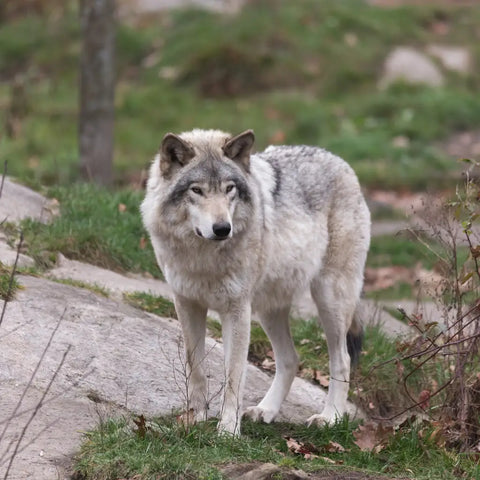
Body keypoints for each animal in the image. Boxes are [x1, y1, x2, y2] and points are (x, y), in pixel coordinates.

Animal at [141, 128, 370, 436]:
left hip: (329, 299)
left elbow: (233, 376)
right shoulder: (186, 304)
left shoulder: (236, 310)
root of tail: (339, 161)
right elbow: (196, 367)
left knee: (342, 360)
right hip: (268, 310)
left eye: (229, 189)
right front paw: (194, 419)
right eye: (196, 190)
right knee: (290, 359)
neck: (204, 258)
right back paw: (266, 410)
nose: (222, 228)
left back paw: (330, 417)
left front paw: (227, 431)